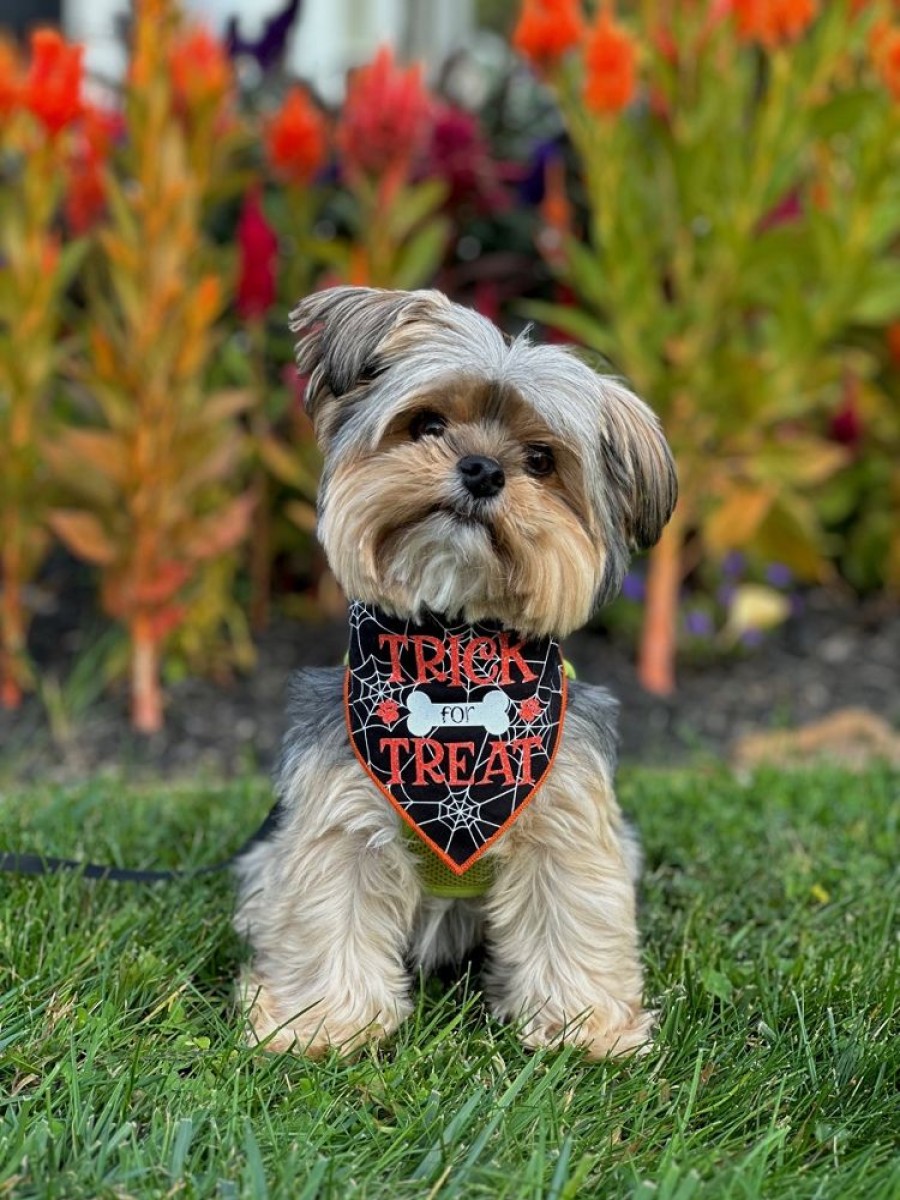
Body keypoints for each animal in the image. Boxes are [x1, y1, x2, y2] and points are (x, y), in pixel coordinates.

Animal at [232, 285, 676, 1056]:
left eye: (540, 459)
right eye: (428, 423)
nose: (482, 469)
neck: (454, 653)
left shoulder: (566, 822)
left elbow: (573, 917)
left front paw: (582, 1024)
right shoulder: (338, 819)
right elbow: (328, 913)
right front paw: (321, 1021)